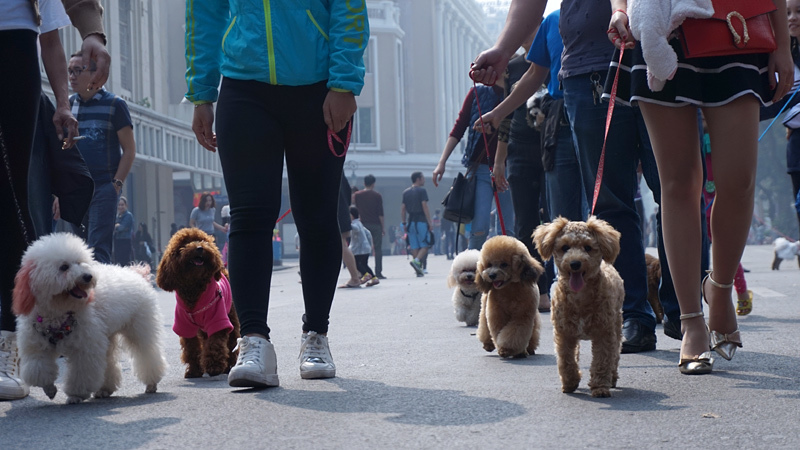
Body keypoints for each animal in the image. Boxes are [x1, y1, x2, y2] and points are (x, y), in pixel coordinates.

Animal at [11, 232, 166, 404]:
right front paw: (49, 389)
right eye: (64, 267)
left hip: (139, 326)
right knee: (109, 361)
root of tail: (136, 274)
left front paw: (76, 395)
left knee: (147, 352)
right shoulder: (36, 346)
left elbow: (82, 373)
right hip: (107, 335)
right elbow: (38, 370)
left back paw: (151, 383)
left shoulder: (85, 347)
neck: (57, 311)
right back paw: (105, 389)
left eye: (80, 263)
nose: (88, 276)